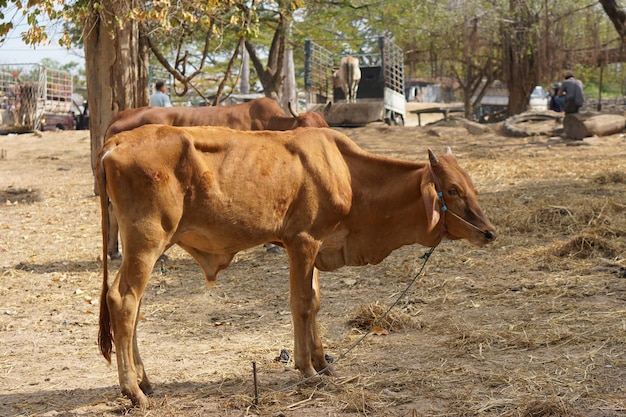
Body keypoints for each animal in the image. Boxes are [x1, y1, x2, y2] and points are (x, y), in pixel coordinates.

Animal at [97, 124, 494, 406]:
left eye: (470, 185)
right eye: (453, 190)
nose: (489, 232)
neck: (348, 173)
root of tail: (115, 142)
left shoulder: (317, 247)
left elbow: (315, 304)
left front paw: (324, 363)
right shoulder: (302, 241)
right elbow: (301, 305)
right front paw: (307, 370)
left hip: (143, 248)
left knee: (133, 307)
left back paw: (145, 380)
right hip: (147, 241)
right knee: (123, 301)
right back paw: (134, 391)